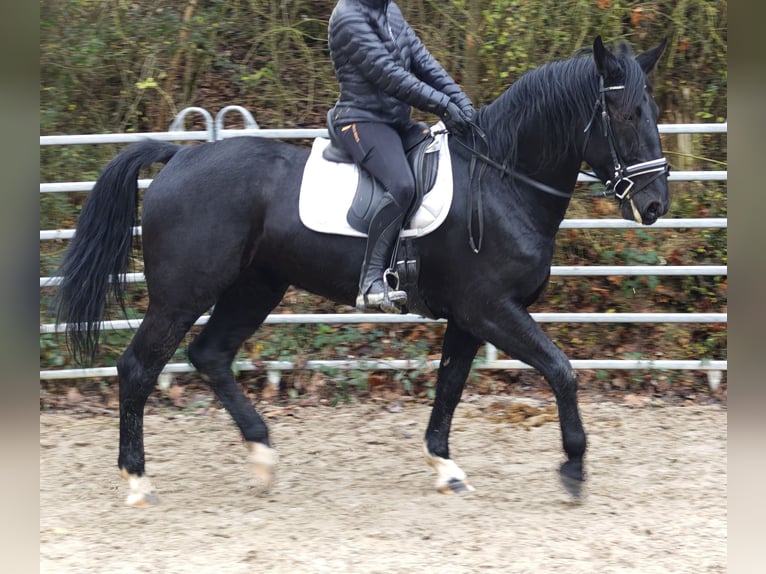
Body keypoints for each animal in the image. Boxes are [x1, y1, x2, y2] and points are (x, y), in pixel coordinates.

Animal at [53, 36, 670, 507]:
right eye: (625, 115)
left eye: (654, 113)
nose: (654, 204)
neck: (501, 181)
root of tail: (180, 155)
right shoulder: (492, 310)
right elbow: (561, 370)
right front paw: (574, 468)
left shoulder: (469, 319)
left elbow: (450, 385)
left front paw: (445, 466)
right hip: (182, 294)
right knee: (138, 368)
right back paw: (138, 480)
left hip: (255, 288)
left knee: (210, 355)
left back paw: (262, 455)